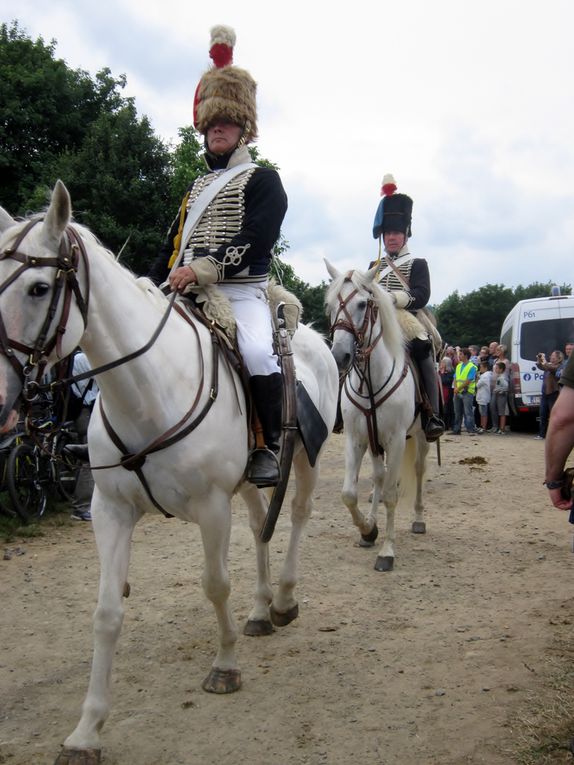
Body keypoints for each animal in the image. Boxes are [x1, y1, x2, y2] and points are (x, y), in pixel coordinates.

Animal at [0, 182, 340, 760]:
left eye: (39, 287)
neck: (146, 388)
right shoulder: (111, 511)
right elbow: (106, 611)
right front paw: (87, 729)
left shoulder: (211, 508)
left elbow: (215, 584)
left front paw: (224, 667)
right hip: (251, 482)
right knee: (260, 528)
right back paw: (258, 610)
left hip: (304, 460)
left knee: (296, 516)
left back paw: (283, 600)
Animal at [326, 260, 430, 572]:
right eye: (331, 305)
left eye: (363, 304)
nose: (339, 356)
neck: (371, 381)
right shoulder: (357, 438)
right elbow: (350, 493)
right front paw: (368, 530)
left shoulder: (395, 441)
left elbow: (392, 497)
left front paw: (387, 551)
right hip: (375, 443)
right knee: (379, 477)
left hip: (421, 437)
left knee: (418, 470)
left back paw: (418, 519)